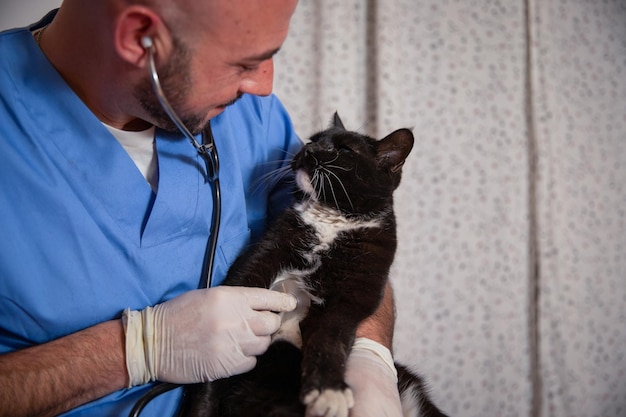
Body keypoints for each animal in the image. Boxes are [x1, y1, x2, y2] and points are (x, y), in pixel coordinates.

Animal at [183, 114, 446, 416]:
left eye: (343, 150)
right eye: (313, 140)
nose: (308, 150)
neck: (331, 220)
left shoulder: (352, 296)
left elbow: (329, 337)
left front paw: (328, 390)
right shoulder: (260, 259)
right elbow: (219, 360)